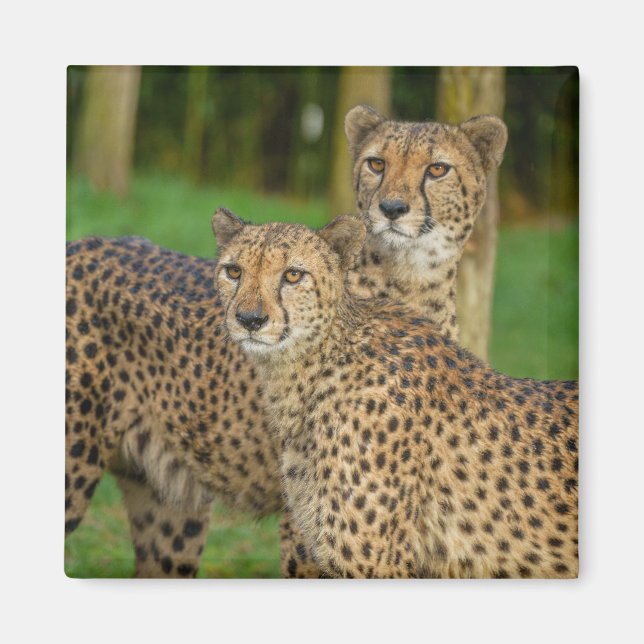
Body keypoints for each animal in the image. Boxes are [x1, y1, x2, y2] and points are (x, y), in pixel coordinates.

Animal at [65, 105, 507, 577]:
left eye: (437, 169)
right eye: (377, 163)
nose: (391, 208)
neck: (409, 282)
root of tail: (82, 243)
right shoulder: (306, 528)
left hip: (168, 509)